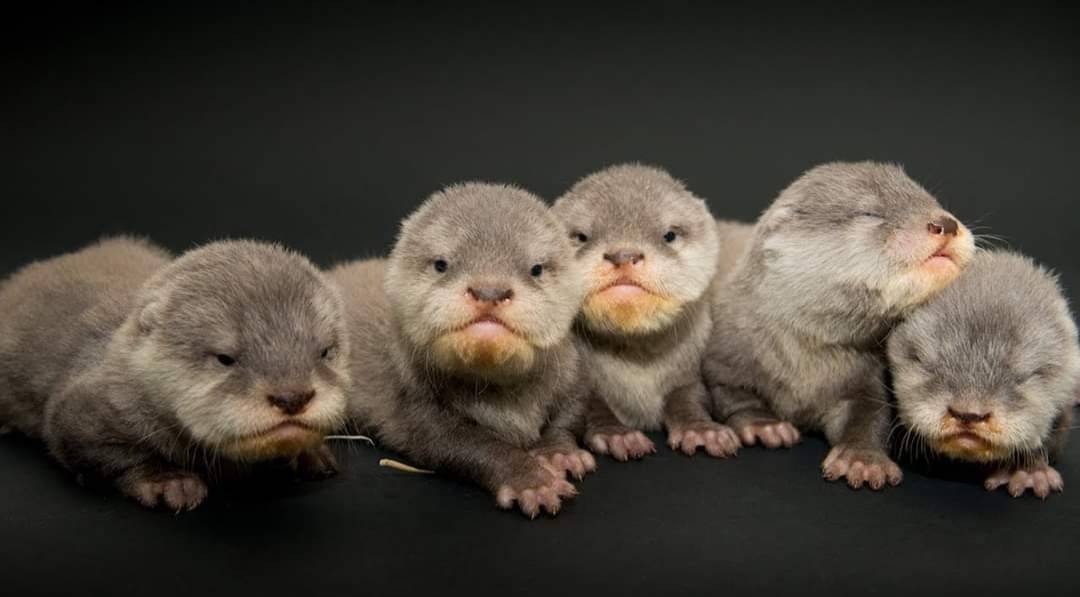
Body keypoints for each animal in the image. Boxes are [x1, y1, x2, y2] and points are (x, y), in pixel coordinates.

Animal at [0, 238, 351, 510]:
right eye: (225, 358)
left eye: (324, 351)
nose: (292, 397)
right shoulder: (82, 409)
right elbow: (105, 451)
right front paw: (167, 481)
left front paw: (310, 452)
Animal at [333, 183, 592, 518]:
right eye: (441, 264)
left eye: (536, 269)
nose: (489, 291)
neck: (508, 403)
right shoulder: (415, 400)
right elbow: (466, 445)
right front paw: (531, 480)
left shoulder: (573, 373)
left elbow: (571, 413)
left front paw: (559, 453)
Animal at [551, 164, 740, 460]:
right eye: (581, 237)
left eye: (669, 235)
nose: (623, 254)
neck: (638, 379)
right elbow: (592, 404)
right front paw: (618, 435)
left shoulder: (691, 365)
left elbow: (689, 396)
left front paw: (702, 431)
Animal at [704, 162, 976, 490]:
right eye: (870, 213)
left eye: (932, 201)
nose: (945, 223)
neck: (803, 367)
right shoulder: (725, 350)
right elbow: (731, 393)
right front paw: (764, 426)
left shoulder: (867, 376)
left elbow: (870, 413)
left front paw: (862, 459)